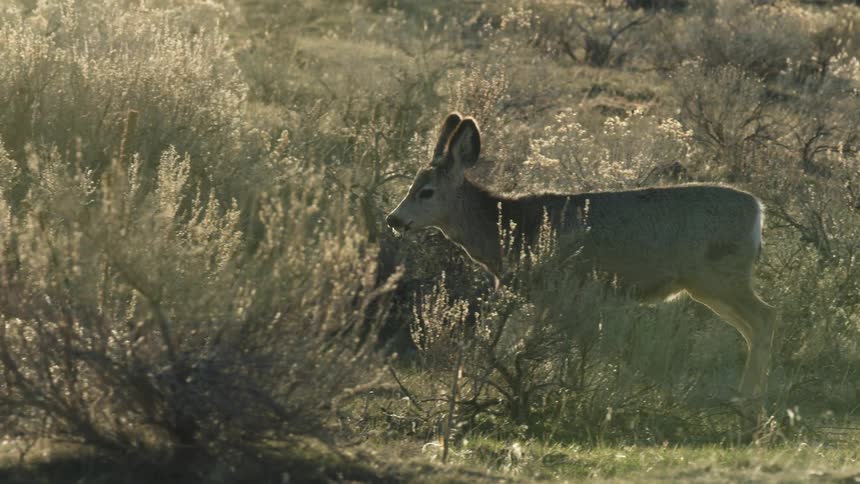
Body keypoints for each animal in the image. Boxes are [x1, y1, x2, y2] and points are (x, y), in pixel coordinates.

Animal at [386, 112, 777, 421]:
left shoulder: (562, 286)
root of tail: (757, 209)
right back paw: (746, 397)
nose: (394, 219)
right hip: (710, 285)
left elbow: (546, 346)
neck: (509, 230)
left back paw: (748, 403)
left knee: (765, 317)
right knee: (751, 327)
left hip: (720, 275)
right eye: (412, 185)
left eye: (426, 192)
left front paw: (558, 392)